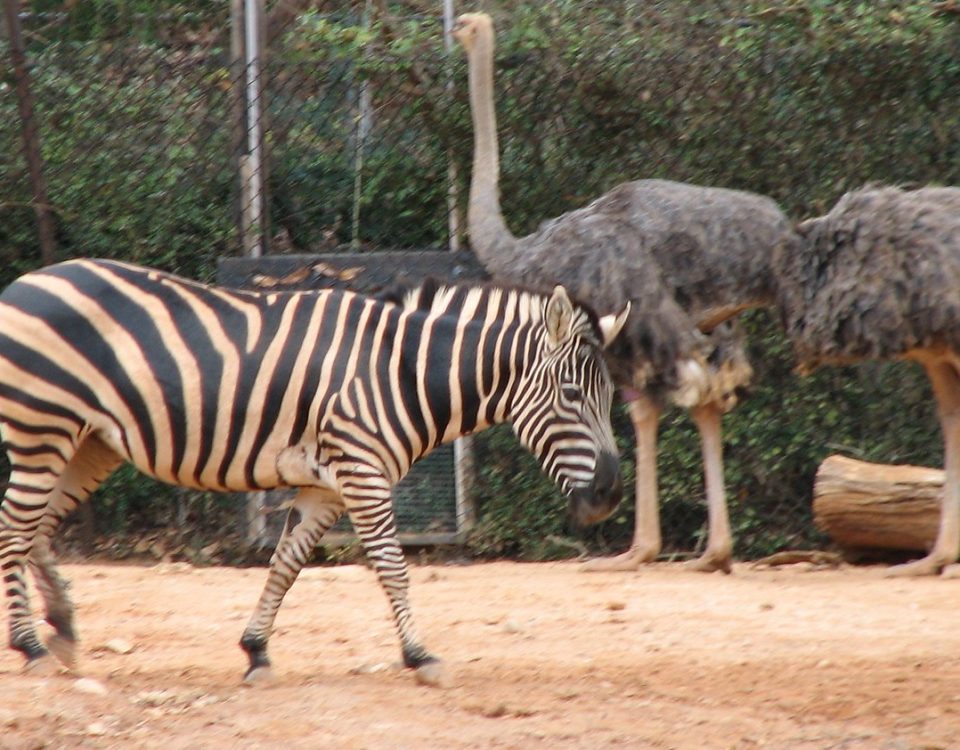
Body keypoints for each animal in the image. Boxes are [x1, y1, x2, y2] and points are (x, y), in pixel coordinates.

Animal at [0, 258, 629, 686]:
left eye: (610, 397)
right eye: (572, 395)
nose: (608, 495)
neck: (398, 370)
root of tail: (24, 282)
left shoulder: (325, 488)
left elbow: (286, 564)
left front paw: (256, 650)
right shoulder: (363, 472)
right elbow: (393, 568)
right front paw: (420, 656)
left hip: (90, 443)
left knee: (40, 528)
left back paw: (61, 627)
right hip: (42, 432)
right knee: (15, 528)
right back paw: (31, 646)